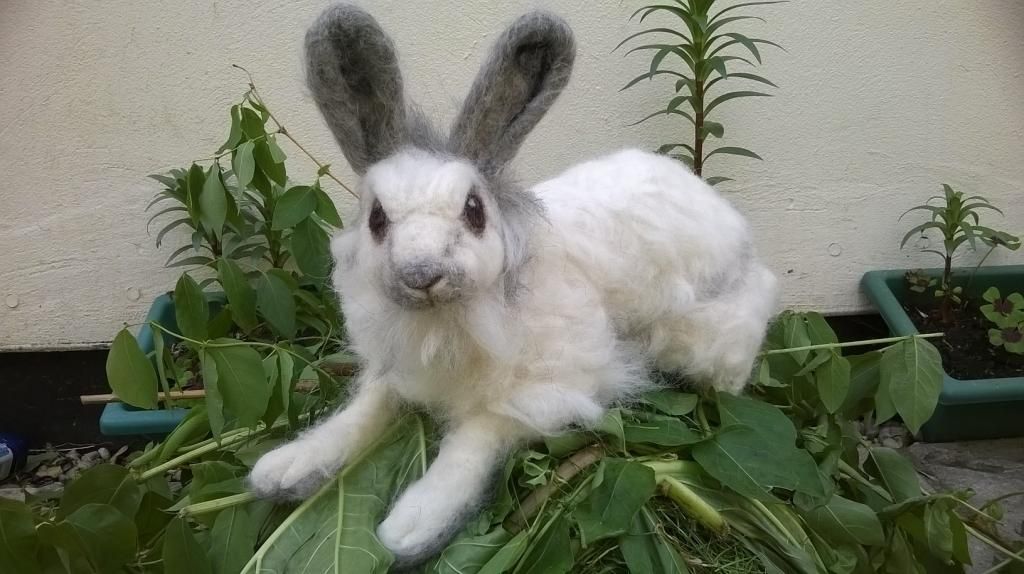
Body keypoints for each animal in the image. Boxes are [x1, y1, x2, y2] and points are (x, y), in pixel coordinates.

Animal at [251, 2, 778, 560]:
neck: (449, 322)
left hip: (707, 334)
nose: (421, 274)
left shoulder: (548, 391)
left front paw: (416, 522)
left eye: (474, 211)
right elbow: (362, 413)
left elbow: (475, 438)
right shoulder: (395, 373)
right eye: (376, 219)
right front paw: (285, 468)